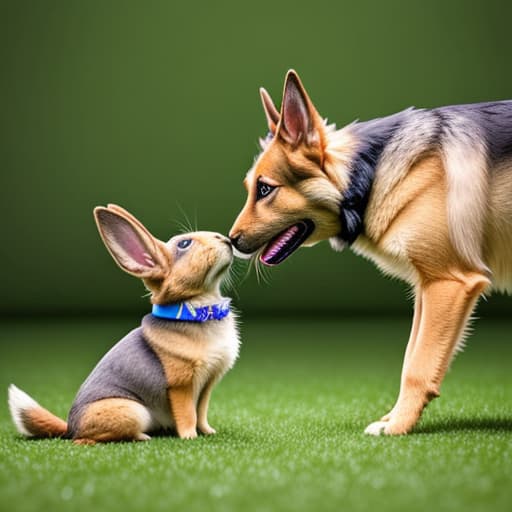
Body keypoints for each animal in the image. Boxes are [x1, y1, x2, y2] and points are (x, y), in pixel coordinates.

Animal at [229, 69, 512, 436]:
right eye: (251, 189)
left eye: (265, 189)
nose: (230, 241)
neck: (369, 174)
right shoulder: (427, 289)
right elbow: (412, 356)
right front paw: (395, 418)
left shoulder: (449, 283)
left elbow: (418, 366)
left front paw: (398, 427)